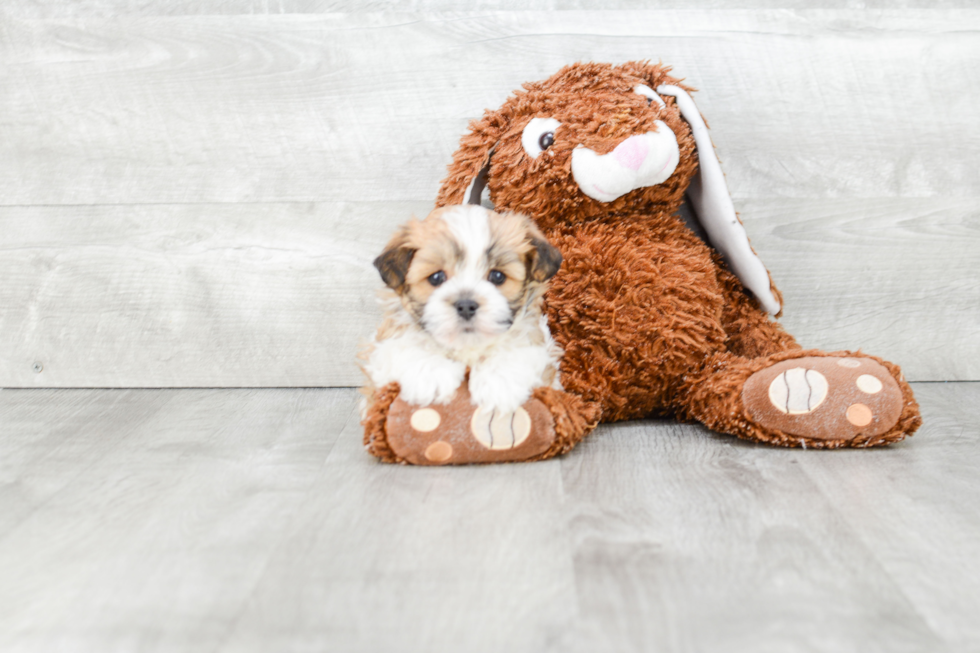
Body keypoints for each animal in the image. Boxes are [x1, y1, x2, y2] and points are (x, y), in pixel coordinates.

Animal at [362, 205, 564, 418]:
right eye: (436, 277)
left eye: (497, 276)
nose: (466, 305)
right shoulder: (384, 343)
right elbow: (406, 344)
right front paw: (432, 373)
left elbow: (516, 348)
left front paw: (499, 383)